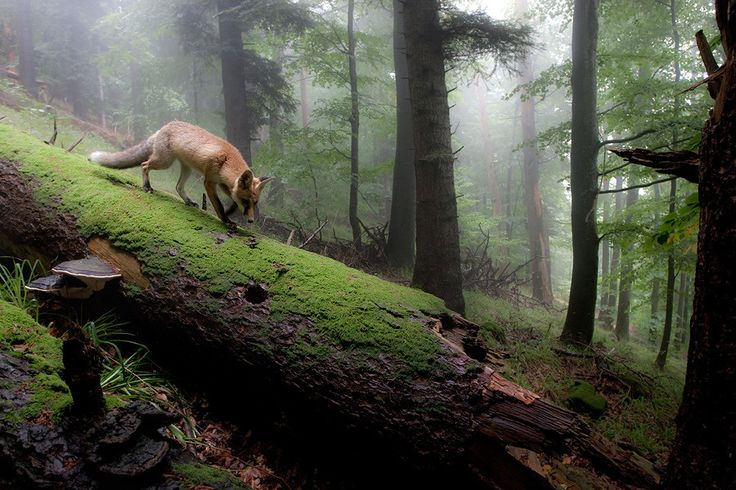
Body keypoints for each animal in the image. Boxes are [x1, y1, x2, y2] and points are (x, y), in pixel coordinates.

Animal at [88, 120, 274, 228]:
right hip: (164, 162)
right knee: (144, 165)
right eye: (246, 201)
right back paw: (147, 187)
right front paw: (225, 220)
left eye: (255, 203)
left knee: (178, 187)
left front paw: (230, 213)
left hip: (187, 169)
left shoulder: (223, 184)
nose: (251, 221)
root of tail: (164, 127)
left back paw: (188, 201)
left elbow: (231, 202)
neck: (226, 161)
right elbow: (219, 205)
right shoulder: (209, 181)